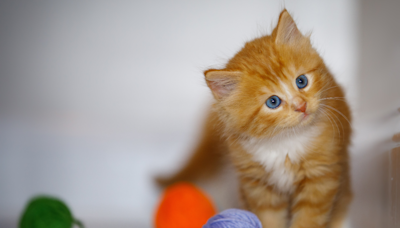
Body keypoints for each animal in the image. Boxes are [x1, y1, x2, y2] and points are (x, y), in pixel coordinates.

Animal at [158, 9, 352, 228]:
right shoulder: (257, 185)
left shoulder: (322, 177)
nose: (301, 106)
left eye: (301, 81)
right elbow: (269, 218)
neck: (284, 142)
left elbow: (308, 219)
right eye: (273, 102)